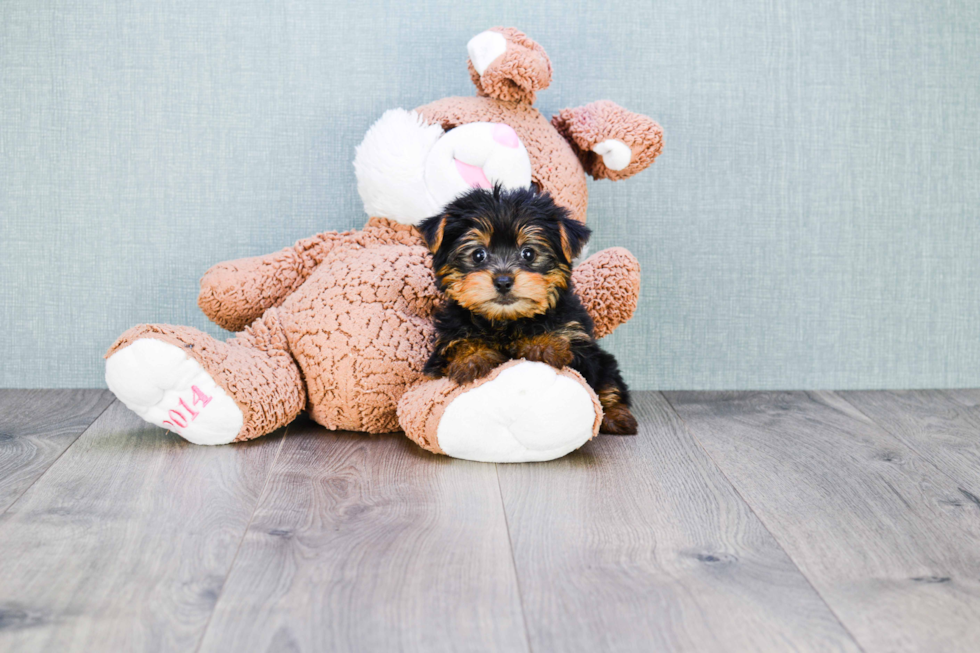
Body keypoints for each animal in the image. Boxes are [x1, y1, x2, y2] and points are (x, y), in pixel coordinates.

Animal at [418, 186, 640, 436]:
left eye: (528, 253)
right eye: (478, 255)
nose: (503, 281)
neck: (507, 320)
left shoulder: (580, 345)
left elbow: (562, 343)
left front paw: (543, 344)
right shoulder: (446, 341)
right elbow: (459, 345)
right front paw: (472, 358)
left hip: (604, 362)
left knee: (610, 384)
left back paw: (618, 418)